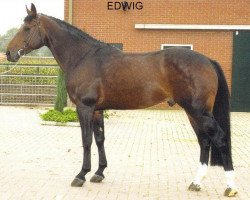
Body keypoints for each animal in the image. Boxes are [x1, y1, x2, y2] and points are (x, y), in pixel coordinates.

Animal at [5, 4, 236, 197]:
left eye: (27, 28)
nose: (8, 53)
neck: (83, 57)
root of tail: (207, 60)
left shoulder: (84, 108)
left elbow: (86, 140)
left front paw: (81, 175)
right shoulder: (97, 110)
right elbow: (100, 139)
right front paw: (99, 173)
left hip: (199, 112)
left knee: (219, 139)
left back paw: (230, 187)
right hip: (193, 113)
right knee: (204, 141)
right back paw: (196, 183)